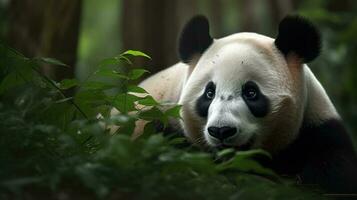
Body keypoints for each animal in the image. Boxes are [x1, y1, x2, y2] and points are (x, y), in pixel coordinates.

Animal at [136, 14, 356, 193]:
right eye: (209, 93)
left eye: (251, 93)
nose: (221, 130)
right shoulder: (162, 126)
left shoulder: (317, 127)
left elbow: (332, 173)